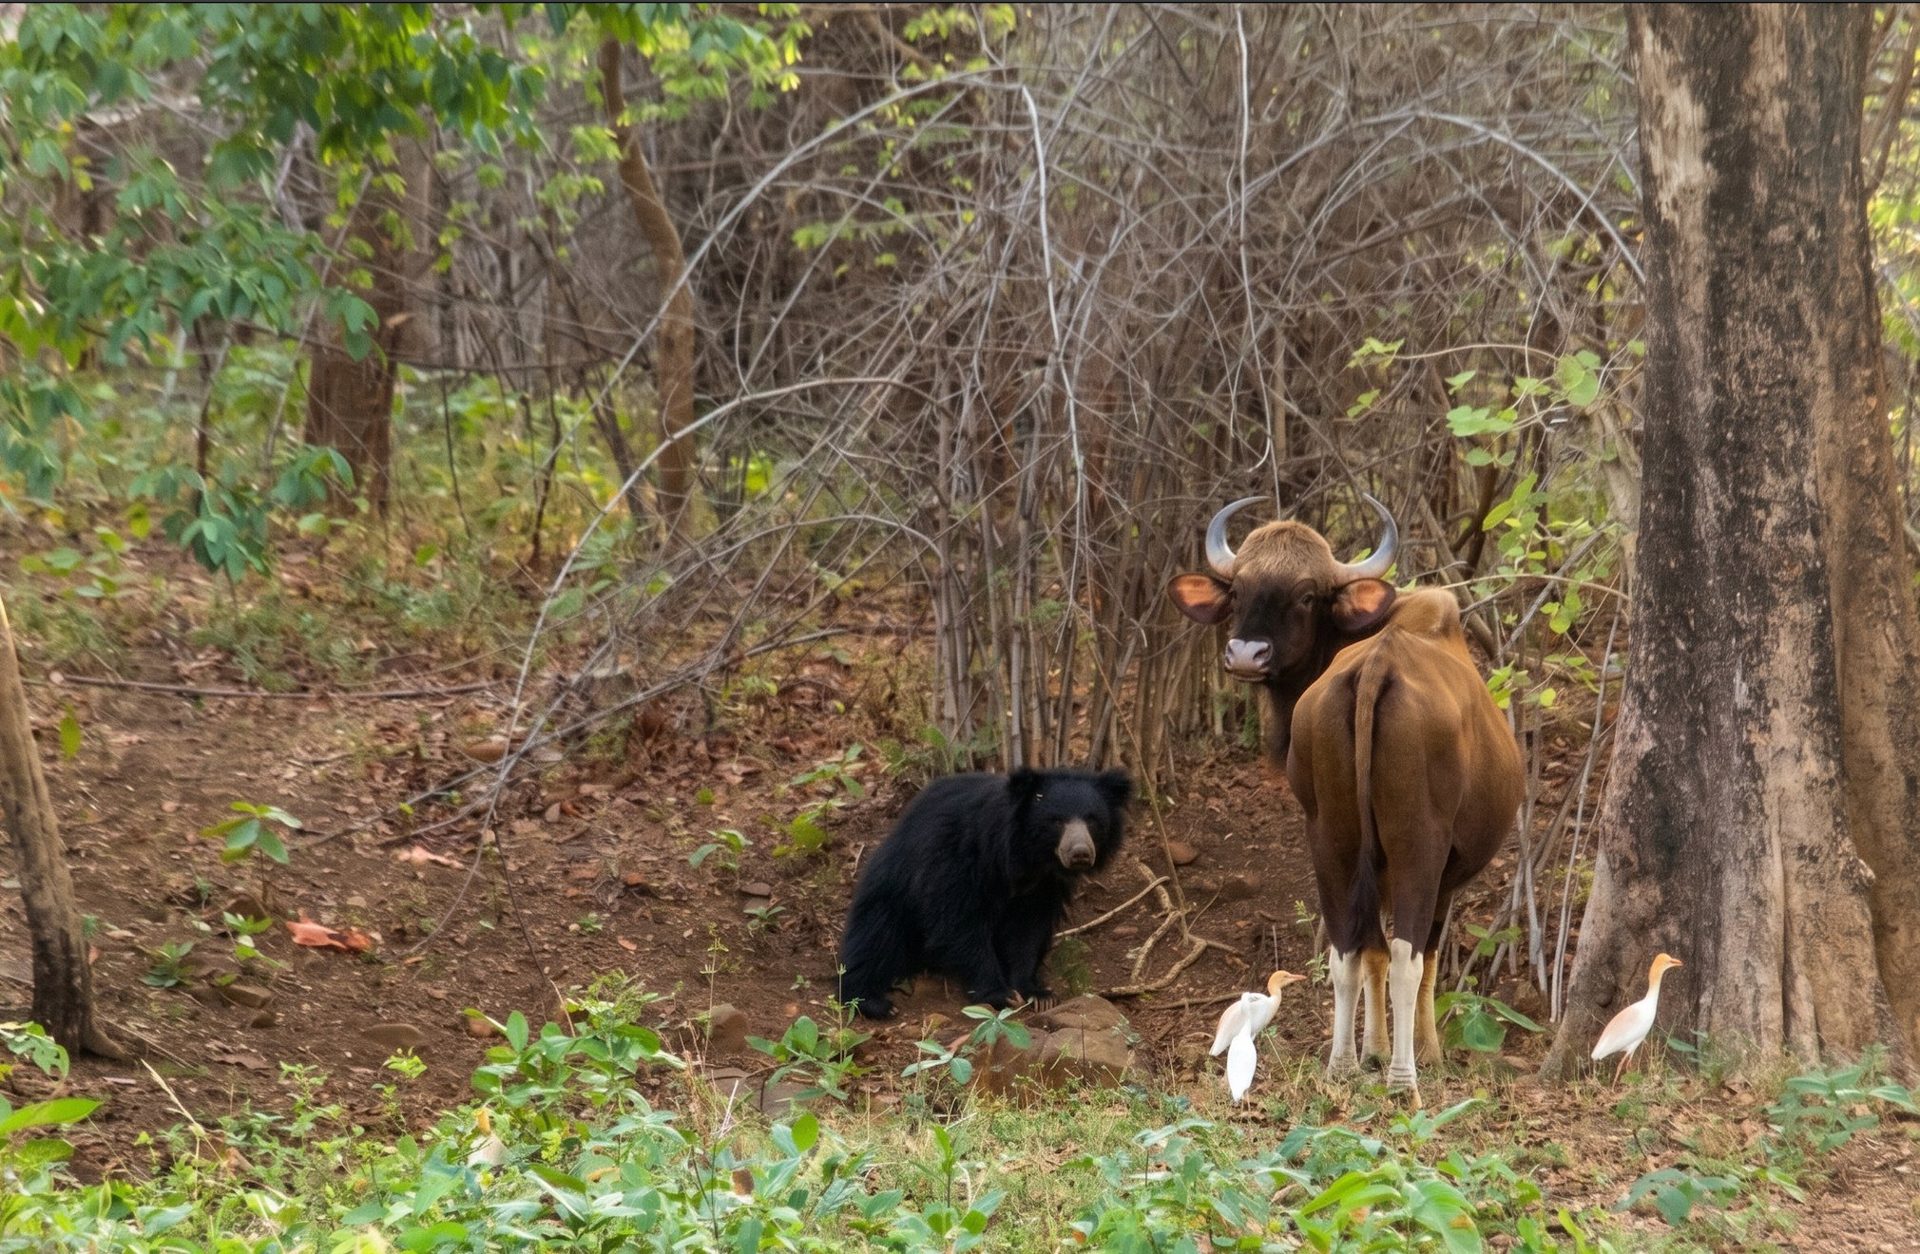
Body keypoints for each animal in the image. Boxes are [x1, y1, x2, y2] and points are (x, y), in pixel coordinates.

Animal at [837, 767, 1132, 1019]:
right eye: (1056, 821)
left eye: (1093, 821)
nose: (1080, 853)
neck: (1024, 859)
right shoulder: (954, 856)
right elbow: (959, 922)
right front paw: (1000, 994)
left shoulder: (1043, 885)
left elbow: (1028, 930)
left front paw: (1037, 994)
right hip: (890, 893)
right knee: (875, 936)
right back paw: (875, 1002)